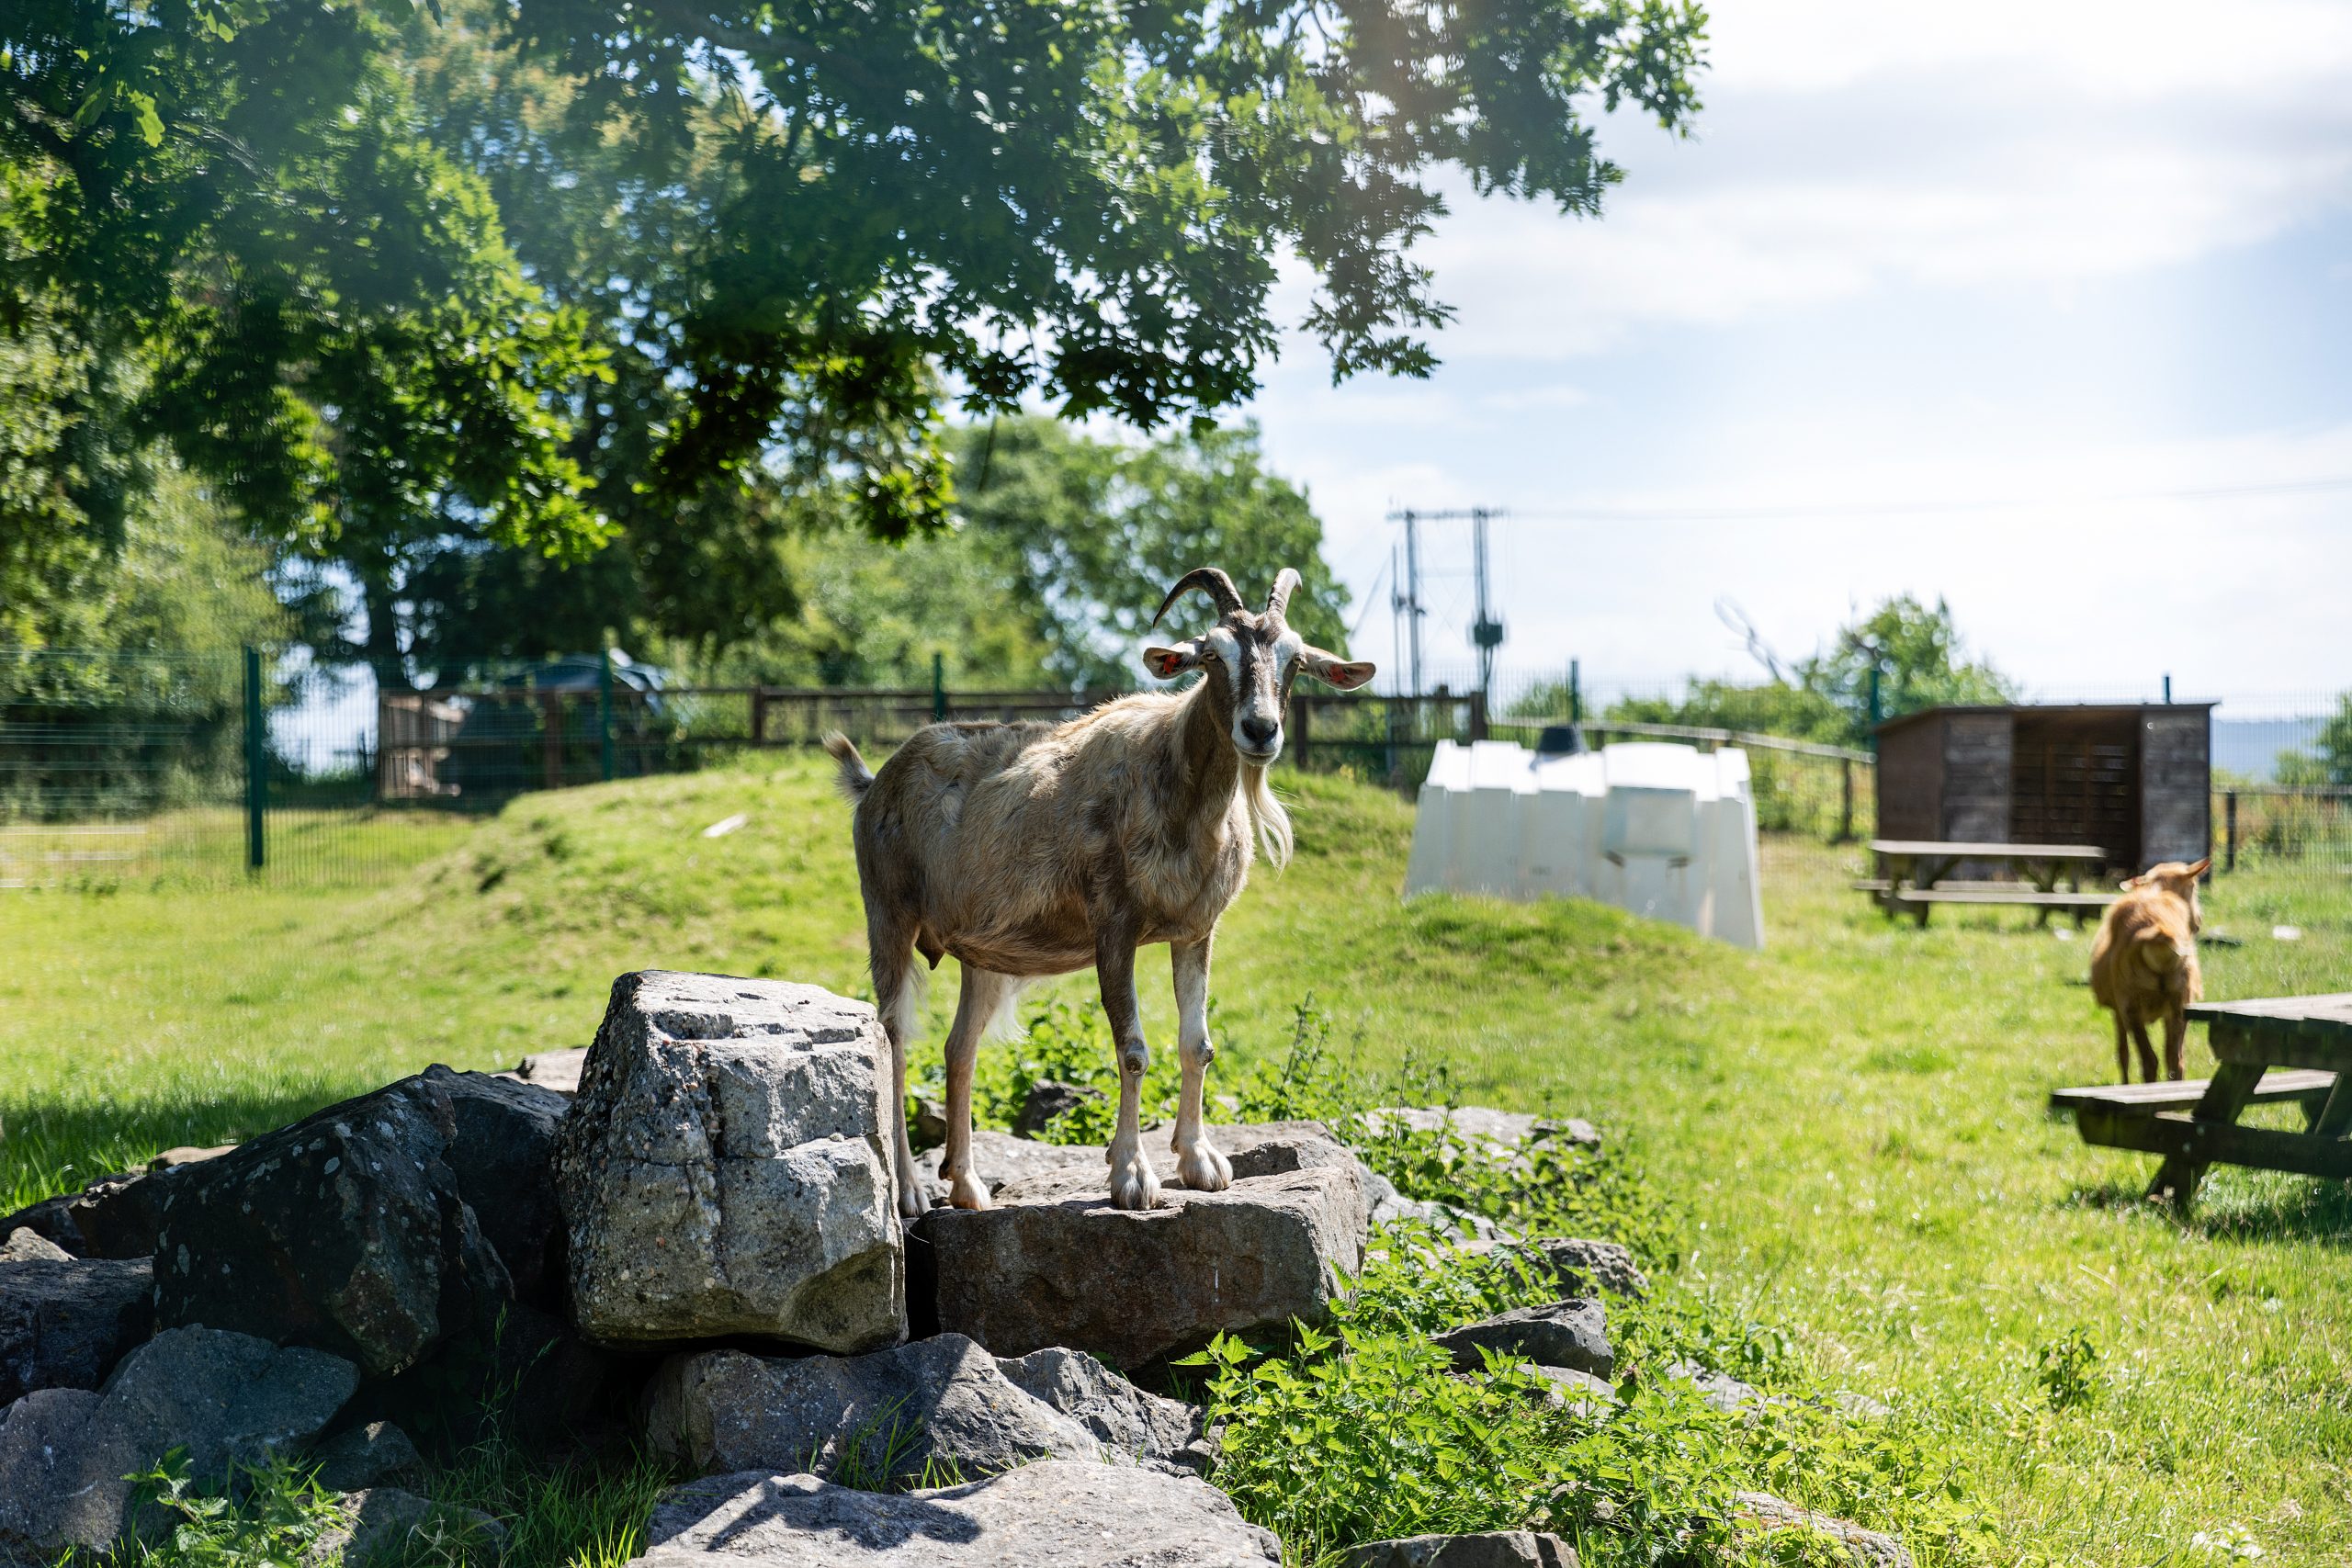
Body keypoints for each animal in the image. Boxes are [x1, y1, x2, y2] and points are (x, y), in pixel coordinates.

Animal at [828, 564, 1374, 1213]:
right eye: (1212, 654)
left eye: (1295, 659)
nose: (1260, 730)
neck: (1179, 789)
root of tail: (874, 784)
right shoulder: (1115, 927)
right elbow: (1133, 1049)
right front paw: (1132, 1175)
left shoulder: (1195, 932)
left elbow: (1198, 1044)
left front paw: (1200, 1161)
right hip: (888, 914)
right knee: (894, 1037)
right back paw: (910, 1190)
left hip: (981, 955)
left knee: (959, 1050)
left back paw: (967, 1186)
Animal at [2098, 864, 2201, 1086]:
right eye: (2193, 888)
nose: (2198, 922)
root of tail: (2158, 933)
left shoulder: (2118, 1010)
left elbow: (2123, 1053)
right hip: (2180, 1004)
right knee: (2175, 1060)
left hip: (2132, 1006)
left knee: (2149, 1061)